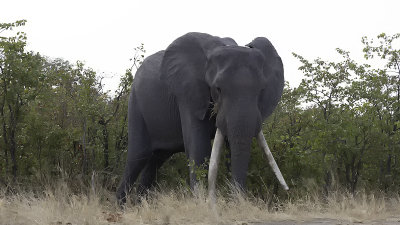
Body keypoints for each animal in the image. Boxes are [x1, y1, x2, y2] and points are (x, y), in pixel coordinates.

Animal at [115, 32, 288, 204]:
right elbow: (198, 147)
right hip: (136, 103)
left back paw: (141, 205)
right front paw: (202, 203)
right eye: (218, 88)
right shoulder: (187, 92)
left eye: (261, 89)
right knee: (138, 156)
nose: (238, 200)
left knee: (156, 160)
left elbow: (231, 147)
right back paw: (122, 207)